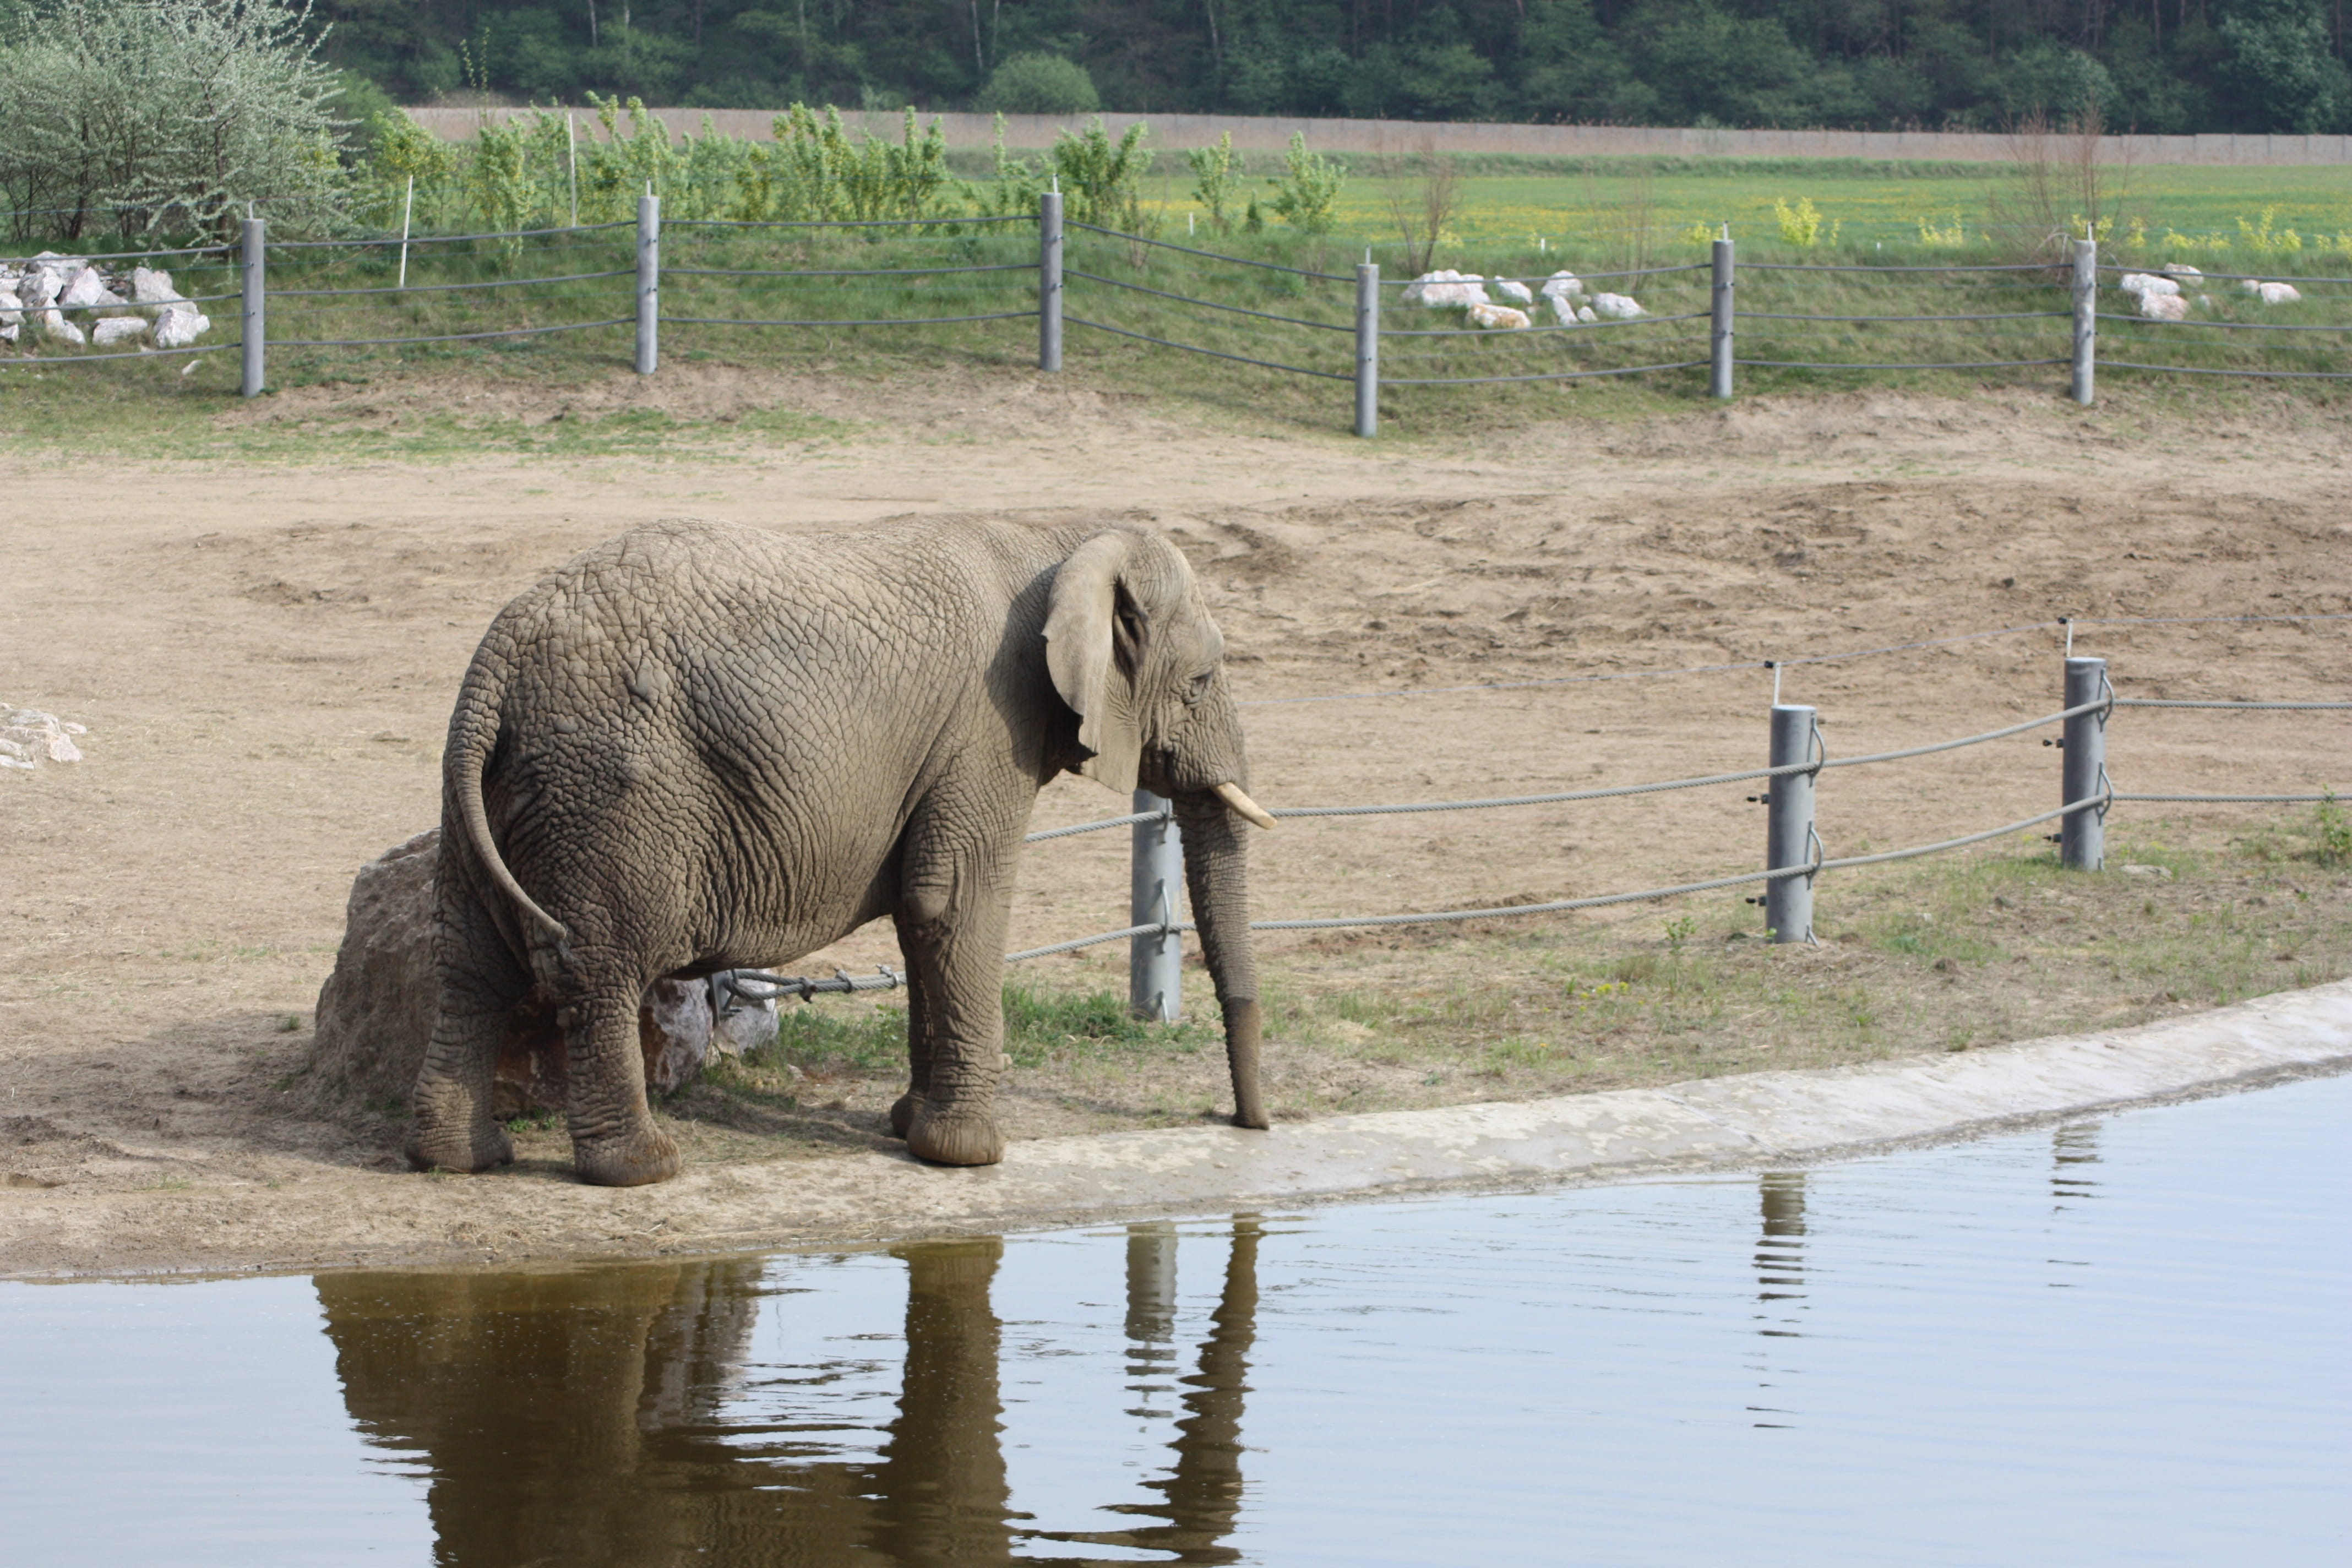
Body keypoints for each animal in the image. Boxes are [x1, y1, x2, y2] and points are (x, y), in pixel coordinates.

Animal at [407, 516, 1275, 1186]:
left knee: (469, 958)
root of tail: (494, 666)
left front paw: (909, 1127)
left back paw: (461, 1159)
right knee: (599, 963)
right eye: (1202, 681)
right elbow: (953, 903)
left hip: (490, 787)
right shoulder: (988, 729)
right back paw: (641, 1169)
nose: (1250, 1126)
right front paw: (969, 1155)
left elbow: (924, 917)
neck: (1062, 541)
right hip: (610, 791)